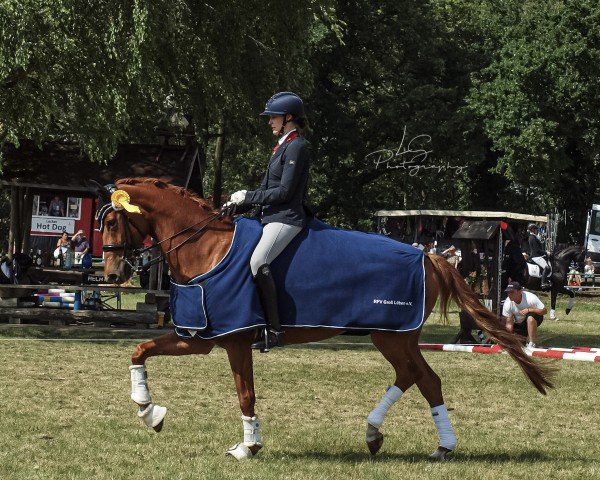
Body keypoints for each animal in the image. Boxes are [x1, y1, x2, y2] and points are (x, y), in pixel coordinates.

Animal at [97, 179, 552, 462]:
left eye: (114, 220)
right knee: (414, 376)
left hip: (395, 335)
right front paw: (149, 412)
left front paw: (248, 447)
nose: (113, 274)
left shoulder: (234, 339)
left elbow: (245, 394)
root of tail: (427, 255)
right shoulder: (201, 337)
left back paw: (438, 446)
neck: (207, 247)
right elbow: (140, 350)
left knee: (426, 379)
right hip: (391, 337)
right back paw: (379, 435)